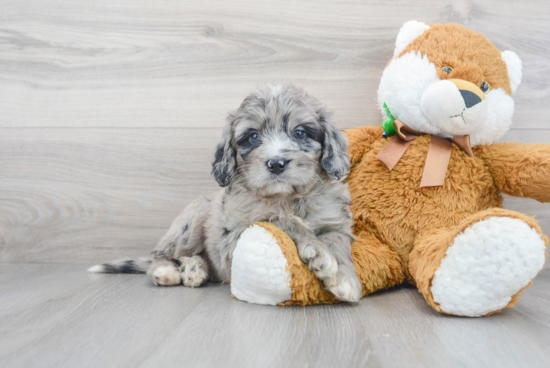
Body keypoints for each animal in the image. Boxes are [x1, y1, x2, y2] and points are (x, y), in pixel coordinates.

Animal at [90, 84, 364, 302]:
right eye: (253, 136)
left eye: (299, 132)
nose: (276, 163)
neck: (286, 198)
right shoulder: (235, 237)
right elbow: (280, 219)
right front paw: (318, 251)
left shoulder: (334, 223)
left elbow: (339, 244)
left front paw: (344, 279)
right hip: (194, 215)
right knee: (165, 254)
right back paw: (169, 270)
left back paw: (195, 269)